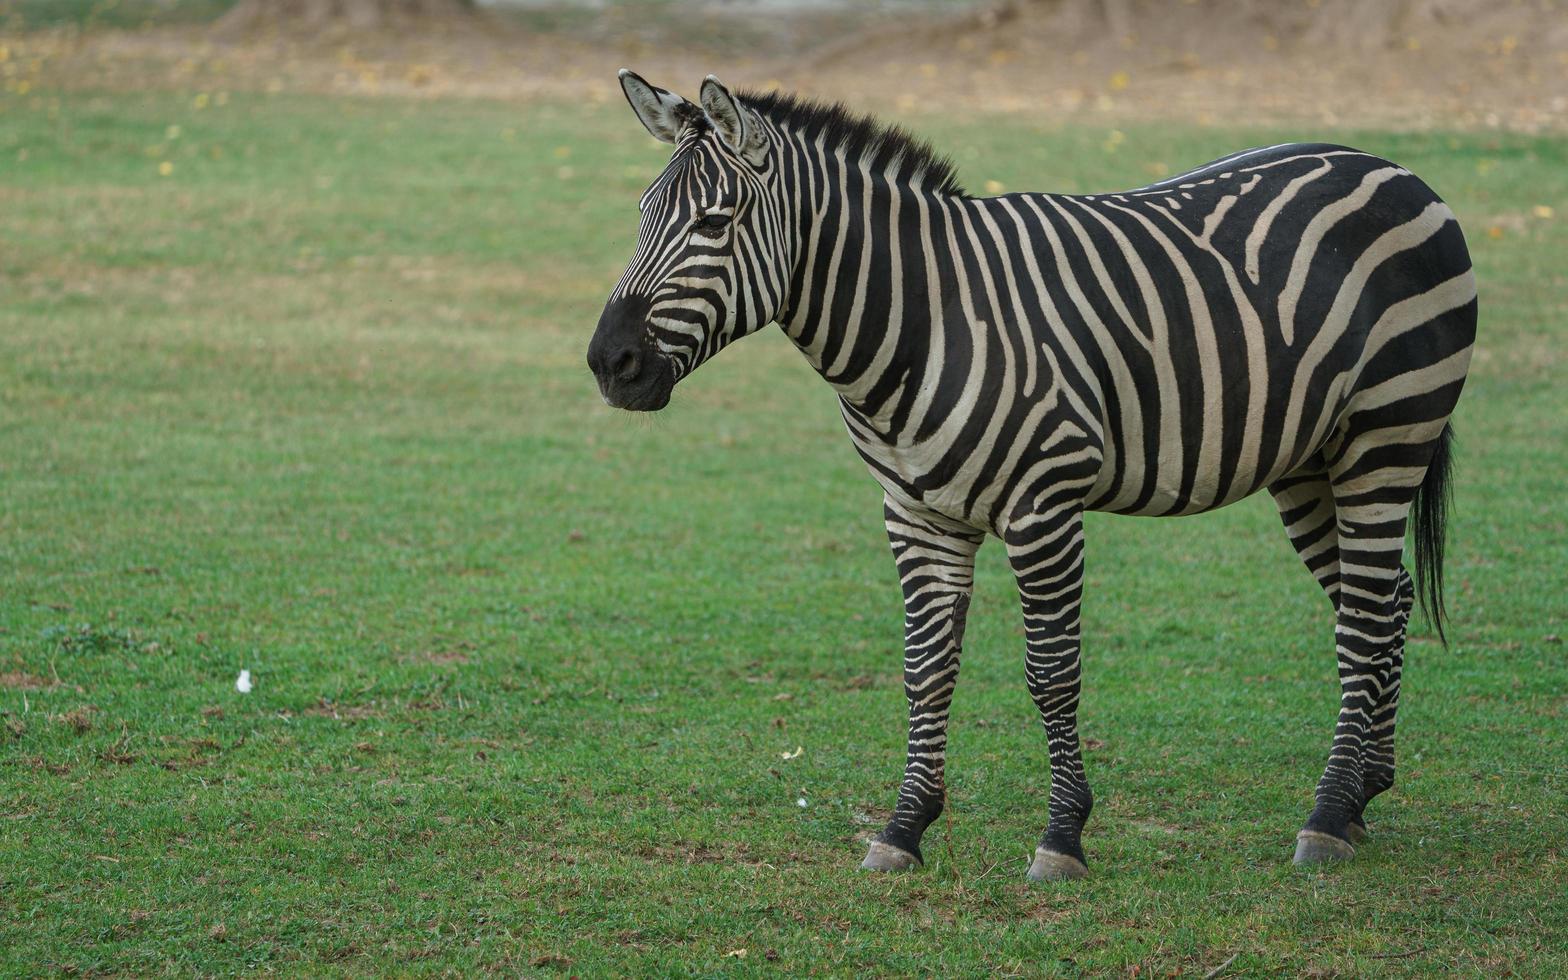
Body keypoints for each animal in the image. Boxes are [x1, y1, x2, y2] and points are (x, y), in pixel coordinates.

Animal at [586, 70, 1467, 878]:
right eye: (642, 216)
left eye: (715, 222)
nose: (608, 364)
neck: (924, 321)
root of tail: (1387, 164)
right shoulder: (916, 514)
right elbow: (925, 672)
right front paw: (903, 829)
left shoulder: (1044, 507)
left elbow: (1051, 675)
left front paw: (1063, 836)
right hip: (1309, 460)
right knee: (1385, 600)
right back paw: (1362, 795)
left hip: (1387, 433)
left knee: (1363, 618)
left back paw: (1327, 815)